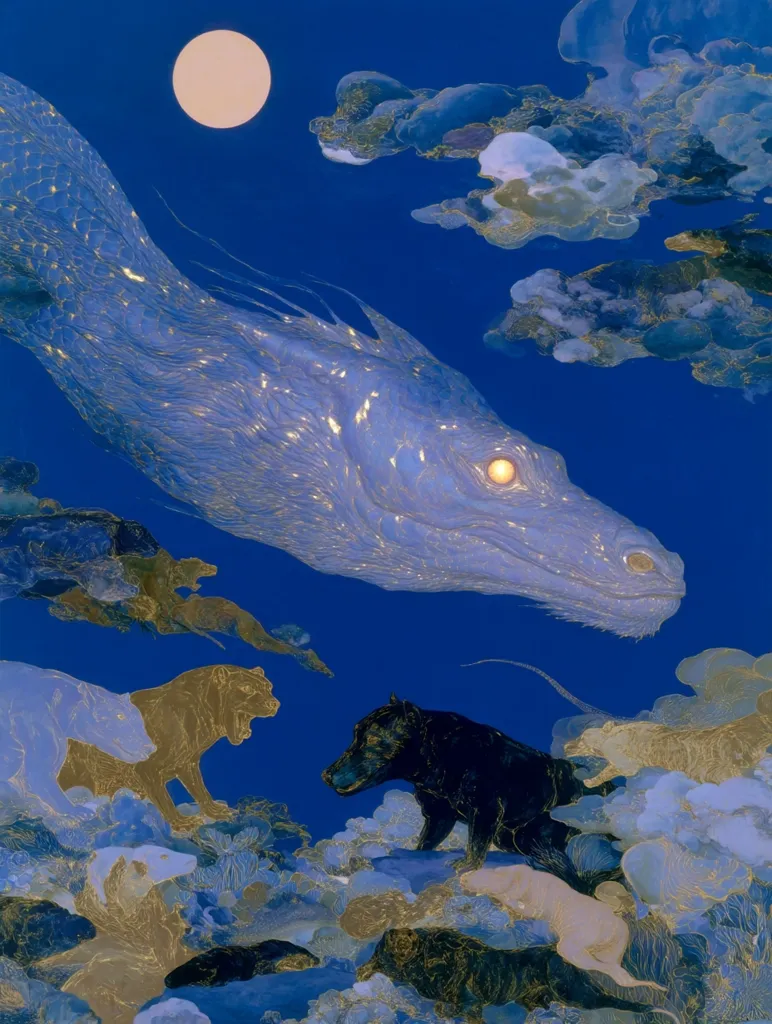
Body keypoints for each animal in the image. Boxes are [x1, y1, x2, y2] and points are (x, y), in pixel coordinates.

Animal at [58, 664, 280, 830]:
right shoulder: (147, 768)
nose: (274, 704)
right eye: (247, 688)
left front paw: (216, 811)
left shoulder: (188, 763)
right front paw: (182, 823)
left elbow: (200, 791)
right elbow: (164, 799)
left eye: (268, 686)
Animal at [322, 694, 614, 885]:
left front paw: (463, 866)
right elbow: (424, 844)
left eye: (371, 739)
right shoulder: (438, 816)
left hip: (534, 835)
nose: (326, 774)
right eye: (355, 733)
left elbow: (475, 846)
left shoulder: (486, 810)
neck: (438, 757)